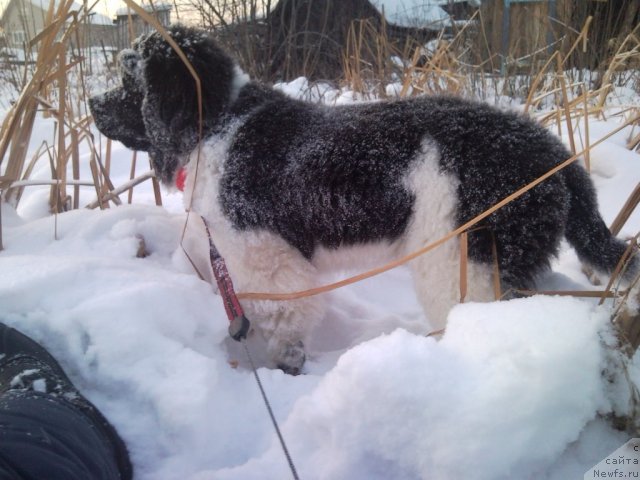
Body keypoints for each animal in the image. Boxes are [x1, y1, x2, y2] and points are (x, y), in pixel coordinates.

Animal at [90, 24, 636, 374]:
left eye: (129, 79)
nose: (93, 104)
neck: (218, 123)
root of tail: (553, 151)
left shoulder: (266, 257)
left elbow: (282, 322)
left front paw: (283, 369)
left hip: (467, 258)